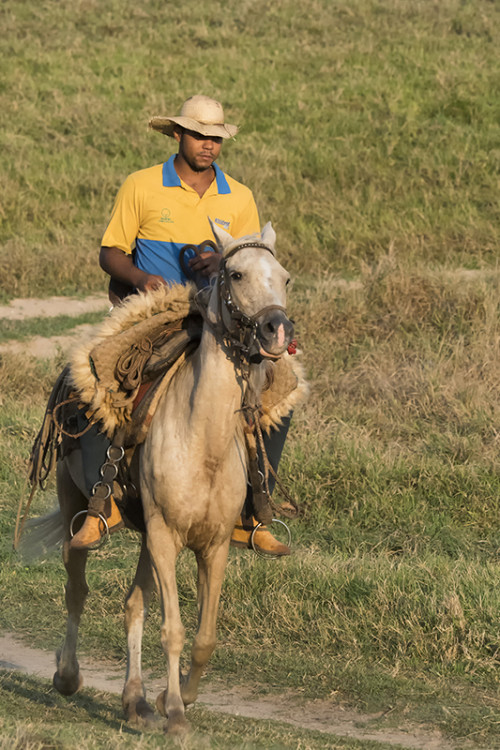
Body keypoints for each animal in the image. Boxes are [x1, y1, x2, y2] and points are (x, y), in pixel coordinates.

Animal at [51, 222, 294, 736]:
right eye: (236, 274)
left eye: (285, 277)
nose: (277, 330)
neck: (203, 440)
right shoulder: (166, 536)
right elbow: (174, 629)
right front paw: (178, 715)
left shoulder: (213, 544)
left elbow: (204, 635)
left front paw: (169, 698)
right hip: (75, 505)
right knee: (77, 588)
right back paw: (67, 676)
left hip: (147, 534)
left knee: (132, 604)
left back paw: (135, 702)